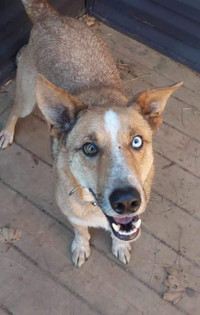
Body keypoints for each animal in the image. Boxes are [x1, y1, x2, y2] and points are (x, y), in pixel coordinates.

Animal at [0, 0, 183, 268]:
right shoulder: (70, 212)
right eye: (90, 148)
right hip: (27, 98)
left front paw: (120, 245)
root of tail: (49, 17)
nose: (127, 201)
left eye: (137, 141)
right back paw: (6, 133)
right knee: (14, 110)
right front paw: (81, 247)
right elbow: (81, 231)